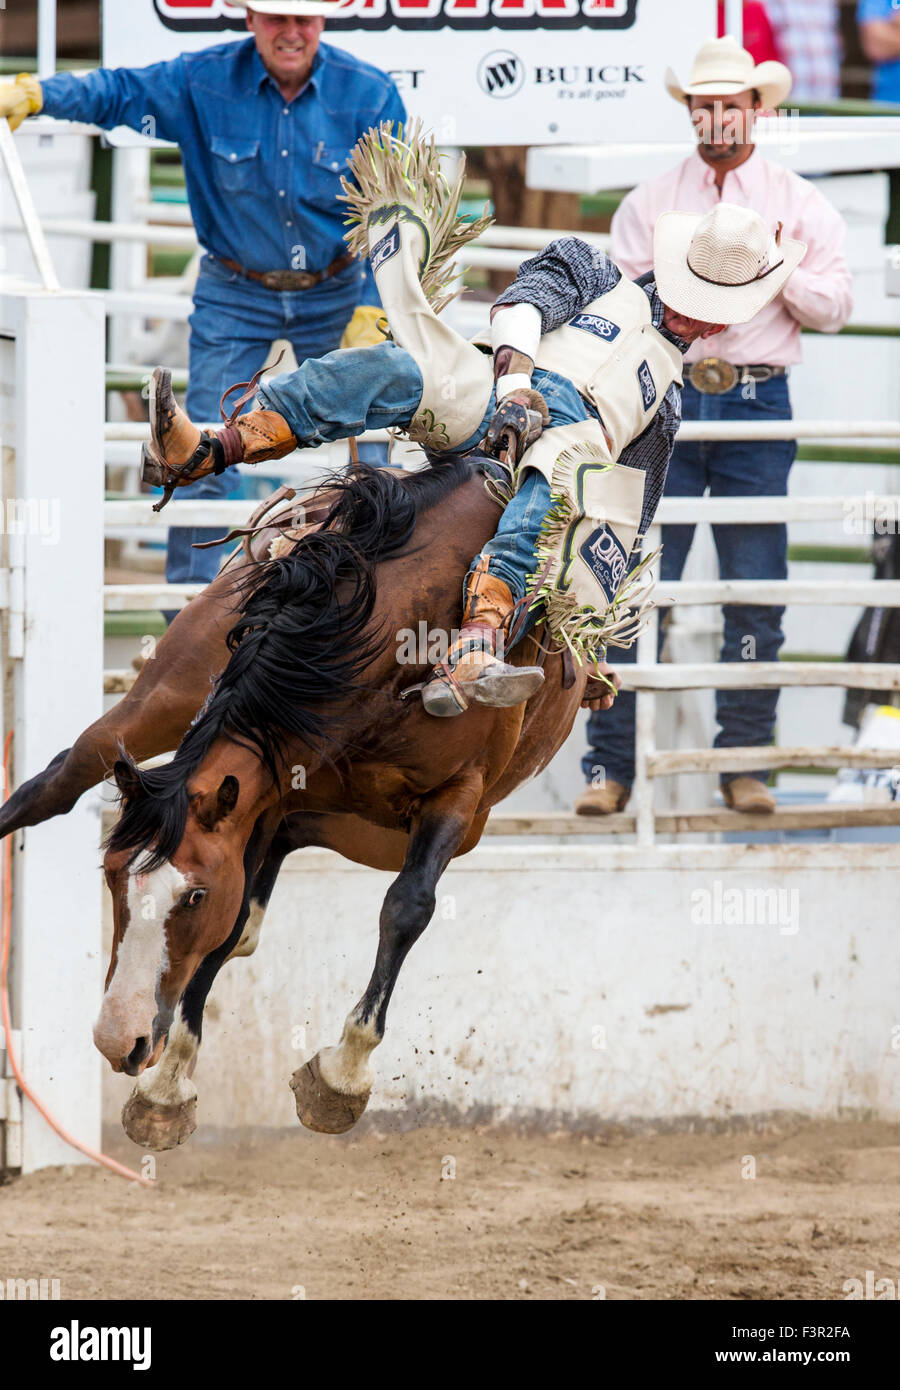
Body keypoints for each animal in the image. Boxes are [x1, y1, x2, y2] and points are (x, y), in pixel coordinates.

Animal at [7, 458, 601, 1149]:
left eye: (195, 895)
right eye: (108, 875)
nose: (115, 1040)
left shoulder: (458, 794)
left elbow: (406, 908)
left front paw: (340, 1076)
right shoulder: (262, 801)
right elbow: (234, 921)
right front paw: (168, 1087)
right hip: (163, 698)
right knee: (55, 781)